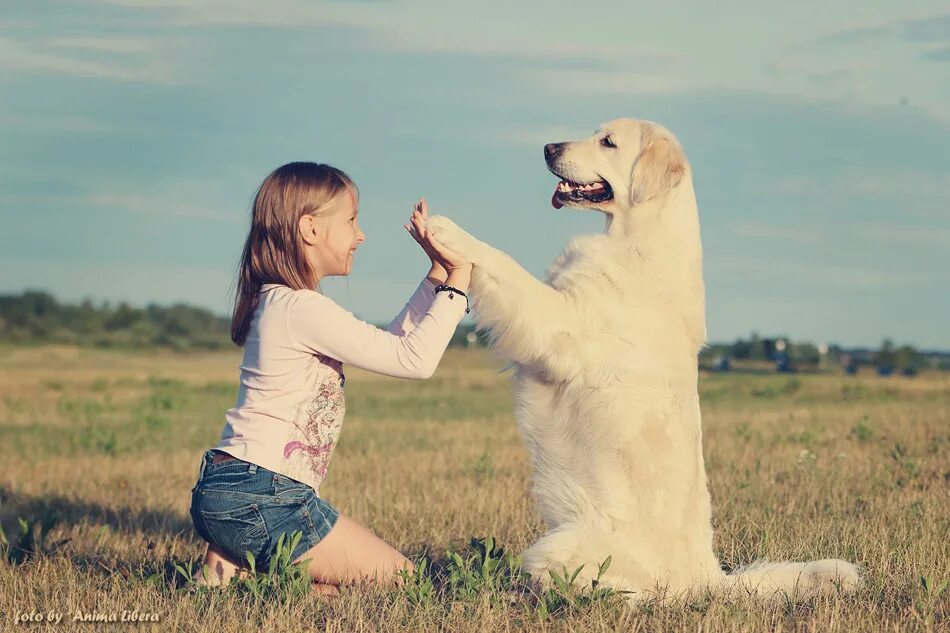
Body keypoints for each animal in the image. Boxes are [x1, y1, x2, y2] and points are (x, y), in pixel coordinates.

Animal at [430, 119, 864, 604]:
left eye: (608, 142)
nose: (547, 147)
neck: (636, 241)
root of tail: (710, 576)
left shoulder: (559, 323)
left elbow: (502, 263)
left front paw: (446, 230)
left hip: (560, 551)